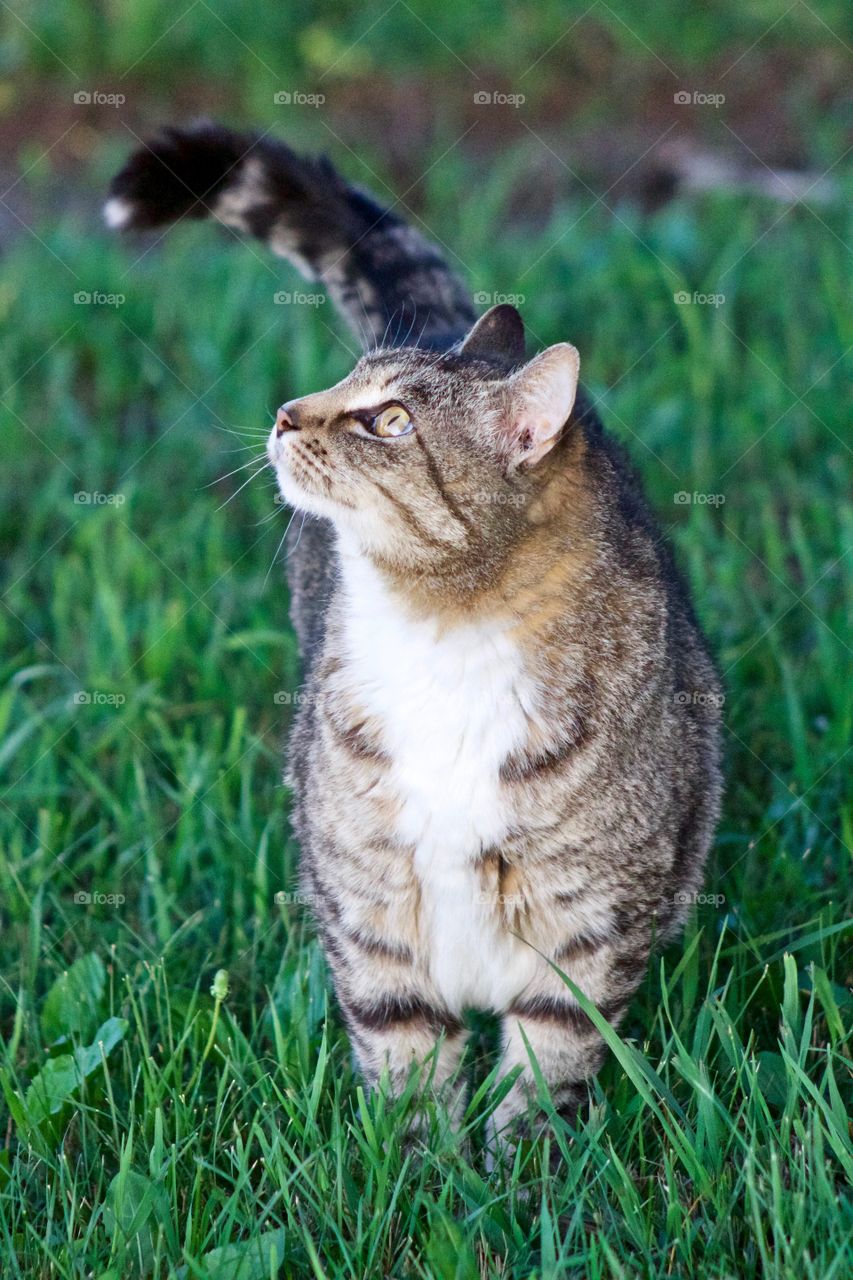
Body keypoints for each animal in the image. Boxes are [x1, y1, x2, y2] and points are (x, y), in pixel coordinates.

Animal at [103, 120, 722, 1141]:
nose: (285, 413)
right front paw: (414, 1165)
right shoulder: (368, 904)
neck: (441, 632)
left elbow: (550, 1054)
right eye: (344, 382)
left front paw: (520, 1169)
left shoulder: (589, 921)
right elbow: (401, 1049)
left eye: (388, 421)